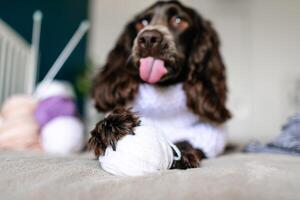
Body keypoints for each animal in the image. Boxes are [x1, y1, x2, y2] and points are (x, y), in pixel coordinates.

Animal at [88, 0, 231, 169]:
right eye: (142, 22)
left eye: (178, 20)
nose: (148, 38)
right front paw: (112, 126)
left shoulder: (207, 130)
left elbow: (189, 141)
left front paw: (182, 154)